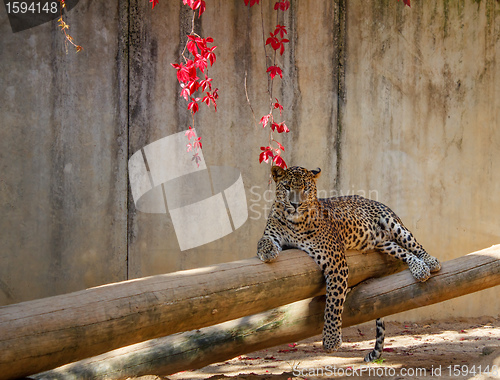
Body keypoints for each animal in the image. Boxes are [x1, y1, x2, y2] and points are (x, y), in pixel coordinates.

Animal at [256, 166, 440, 362]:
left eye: (306, 188)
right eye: (287, 186)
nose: (295, 204)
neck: (294, 223)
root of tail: (368, 198)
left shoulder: (336, 262)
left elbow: (333, 304)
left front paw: (331, 341)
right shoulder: (273, 234)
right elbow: (263, 240)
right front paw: (267, 251)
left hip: (394, 224)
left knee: (415, 244)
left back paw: (430, 262)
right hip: (385, 244)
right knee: (405, 252)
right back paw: (420, 269)